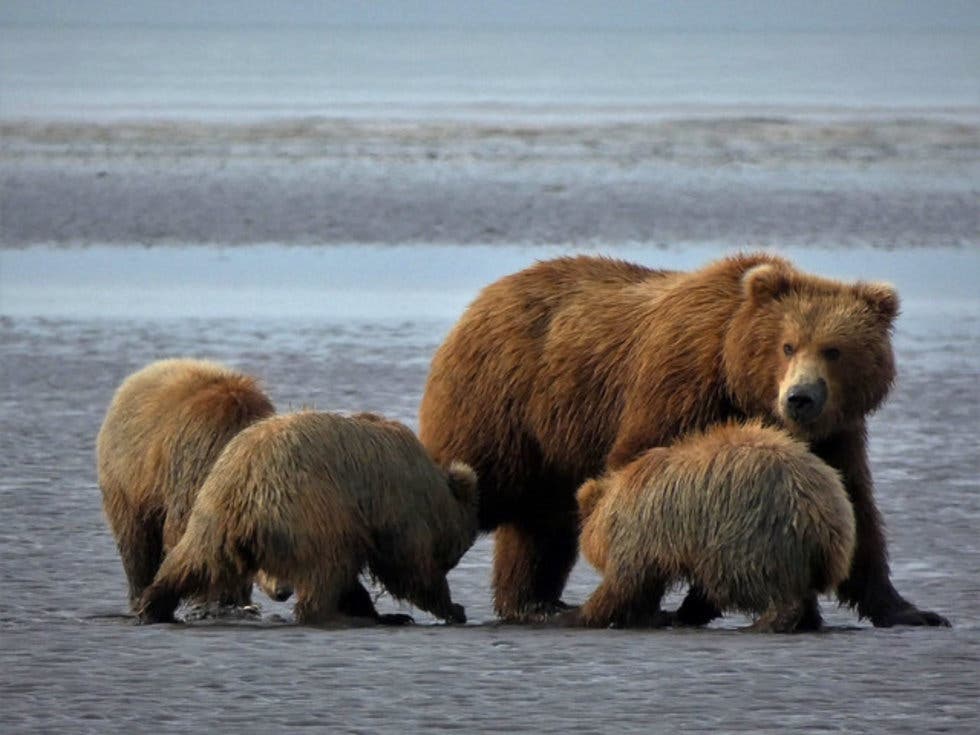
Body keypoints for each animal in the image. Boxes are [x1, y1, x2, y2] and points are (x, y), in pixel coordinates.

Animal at [420, 252, 948, 628]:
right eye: (787, 345)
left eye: (835, 350)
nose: (800, 398)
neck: (740, 379)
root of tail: (483, 299)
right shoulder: (680, 381)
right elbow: (643, 476)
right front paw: (663, 603)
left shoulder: (835, 436)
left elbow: (856, 510)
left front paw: (911, 610)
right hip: (503, 405)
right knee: (473, 484)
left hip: (551, 444)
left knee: (541, 525)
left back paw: (534, 602)